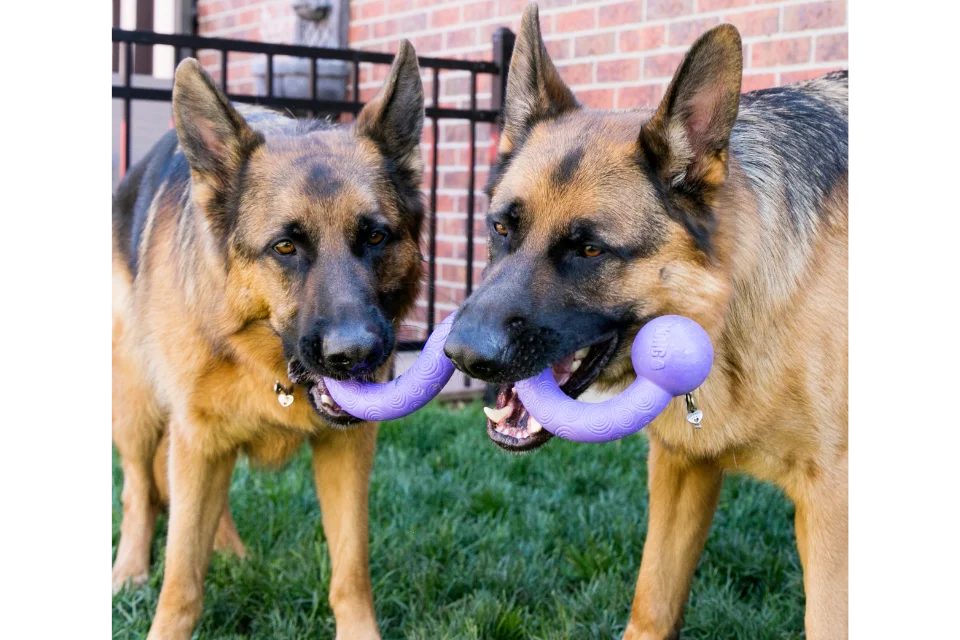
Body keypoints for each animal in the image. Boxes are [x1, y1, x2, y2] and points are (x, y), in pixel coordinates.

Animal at [109, 41, 424, 640]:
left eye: (375, 237)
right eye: (285, 247)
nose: (356, 356)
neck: (264, 361)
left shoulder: (348, 449)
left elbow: (350, 572)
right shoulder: (197, 436)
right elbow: (180, 582)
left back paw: (228, 551)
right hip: (136, 406)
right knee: (139, 488)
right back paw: (130, 570)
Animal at [446, 6, 852, 640]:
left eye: (589, 250)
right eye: (502, 228)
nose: (460, 355)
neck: (728, 314)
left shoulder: (832, 510)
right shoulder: (679, 468)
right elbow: (652, 603)